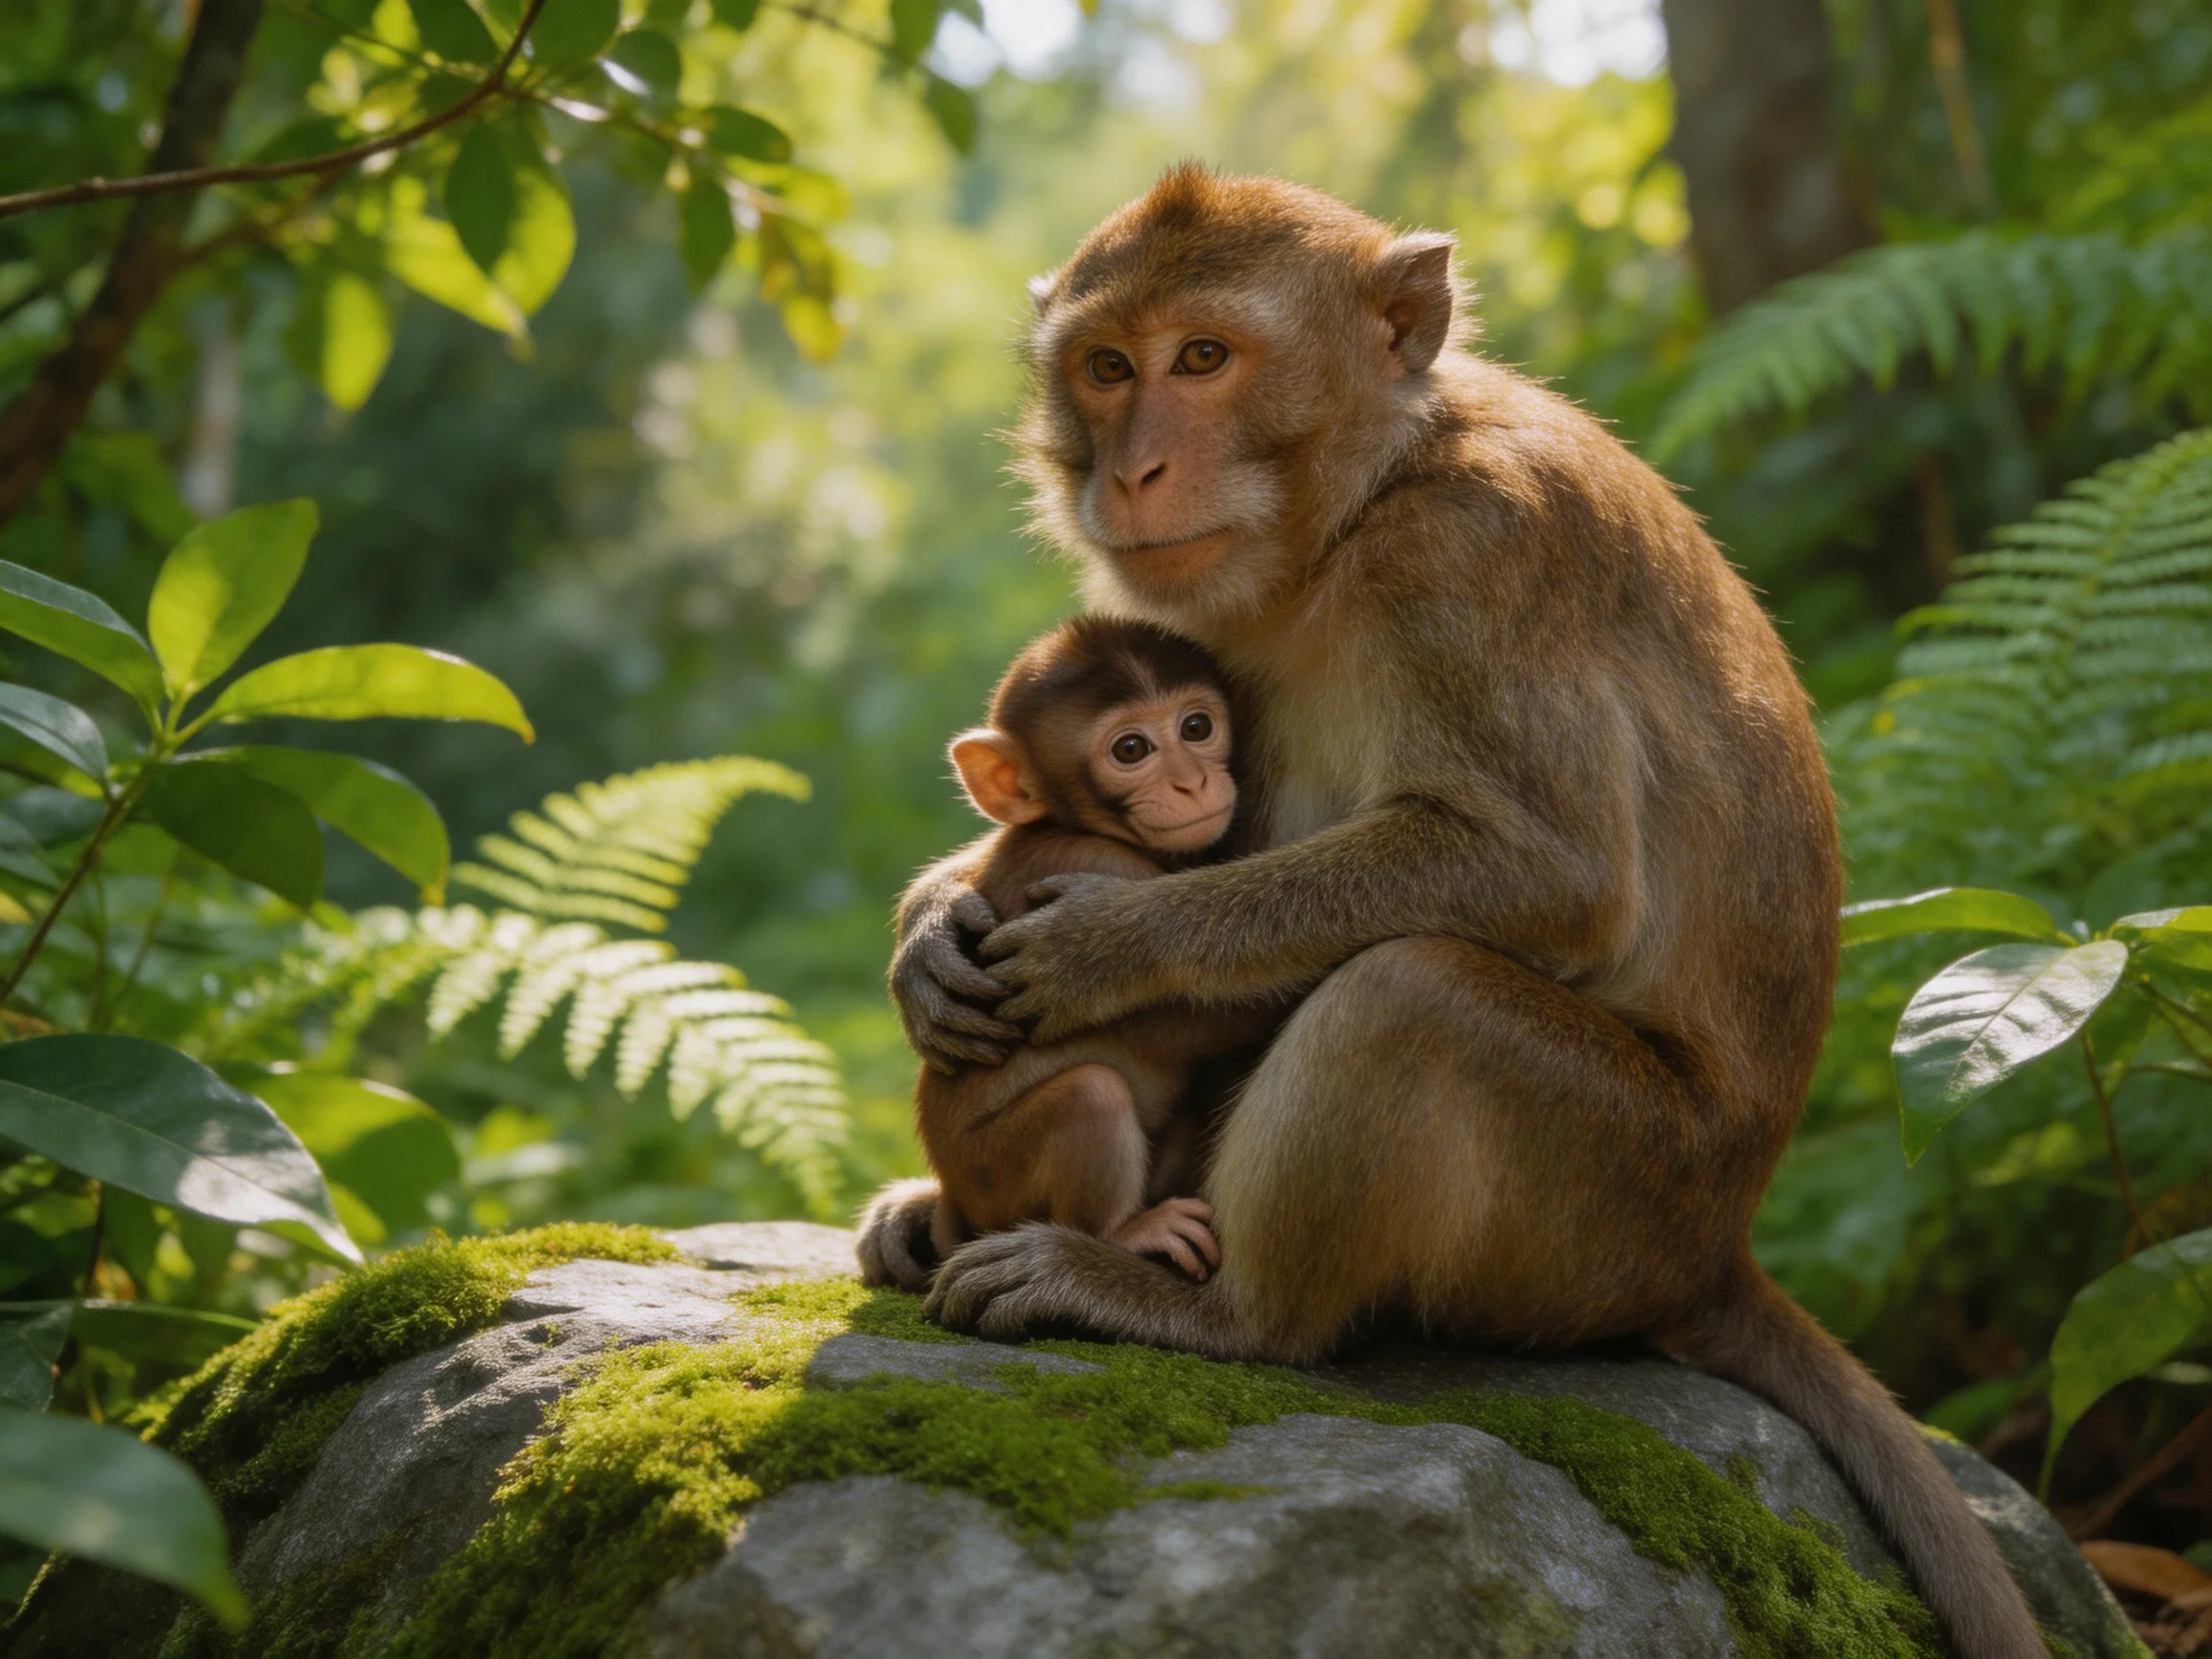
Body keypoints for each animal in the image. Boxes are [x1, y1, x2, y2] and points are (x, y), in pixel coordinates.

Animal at [858, 616, 1276, 1293]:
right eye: (1130, 750)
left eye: (1196, 727)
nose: (1192, 782)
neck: (1068, 825)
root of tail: (957, 1204)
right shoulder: (1106, 868)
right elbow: (1177, 1025)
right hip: (998, 1179)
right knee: (1092, 1094)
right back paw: (1121, 1236)